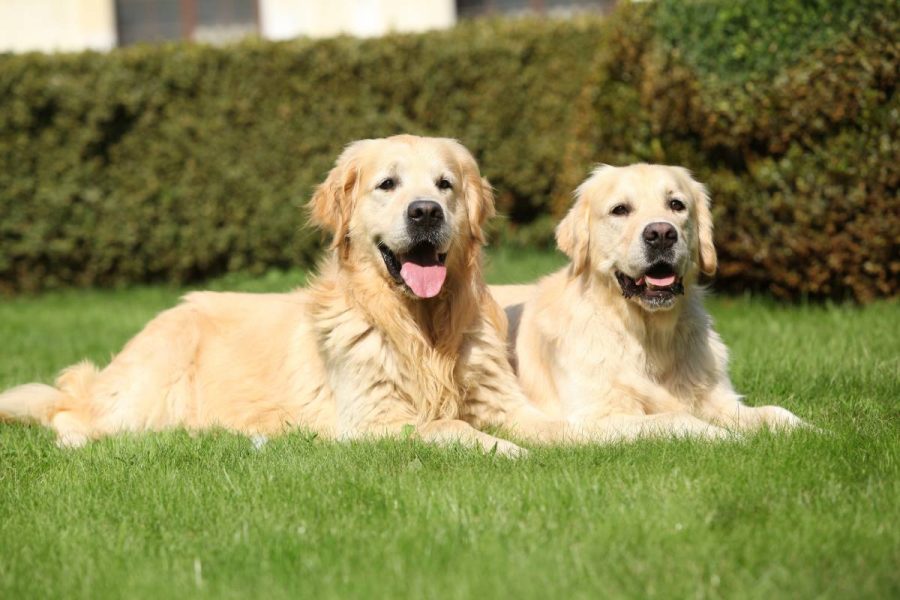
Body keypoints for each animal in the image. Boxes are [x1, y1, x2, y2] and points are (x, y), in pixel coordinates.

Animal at [0, 135, 568, 454]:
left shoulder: (501, 399)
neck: (420, 325)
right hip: (145, 394)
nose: (425, 211)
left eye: (445, 184)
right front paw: (506, 451)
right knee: (69, 411)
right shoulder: (374, 420)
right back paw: (76, 440)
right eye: (387, 184)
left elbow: (558, 425)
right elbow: (447, 427)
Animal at [492, 164, 808, 440]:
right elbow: (675, 417)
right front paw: (729, 437)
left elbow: (776, 412)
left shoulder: (720, 400)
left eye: (676, 205)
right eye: (620, 209)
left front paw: (814, 434)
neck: (647, 336)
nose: (661, 234)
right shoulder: (592, 416)